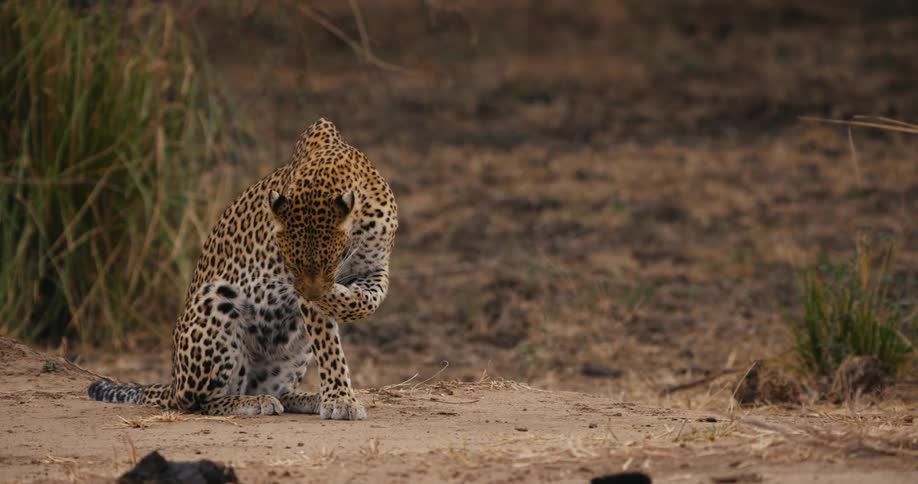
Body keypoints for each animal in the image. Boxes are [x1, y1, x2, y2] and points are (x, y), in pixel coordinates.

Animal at [88, 118, 397, 420]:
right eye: (290, 263)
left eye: (329, 263)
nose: (312, 294)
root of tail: (174, 381)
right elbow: (329, 346)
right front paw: (340, 399)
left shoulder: (375, 266)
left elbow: (368, 301)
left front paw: (343, 299)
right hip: (216, 300)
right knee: (199, 402)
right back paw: (253, 402)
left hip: (293, 353)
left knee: (273, 389)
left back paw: (306, 397)